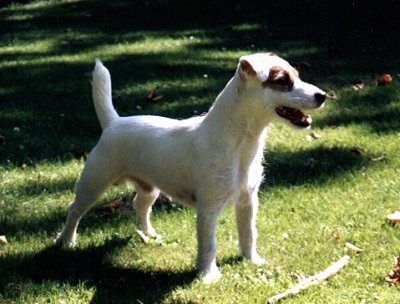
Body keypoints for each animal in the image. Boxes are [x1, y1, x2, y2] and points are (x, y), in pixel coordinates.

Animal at [55, 52, 324, 282]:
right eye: (282, 80)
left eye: (298, 75)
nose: (322, 95)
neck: (241, 144)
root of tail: (114, 122)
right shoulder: (208, 208)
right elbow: (208, 245)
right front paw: (208, 276)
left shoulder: (248, 201)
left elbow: (248, 234)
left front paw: (252, 260)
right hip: (94, 183)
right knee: (74, 210)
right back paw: (66, 241)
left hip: (149, 188)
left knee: (140, 204)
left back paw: (149, 234)